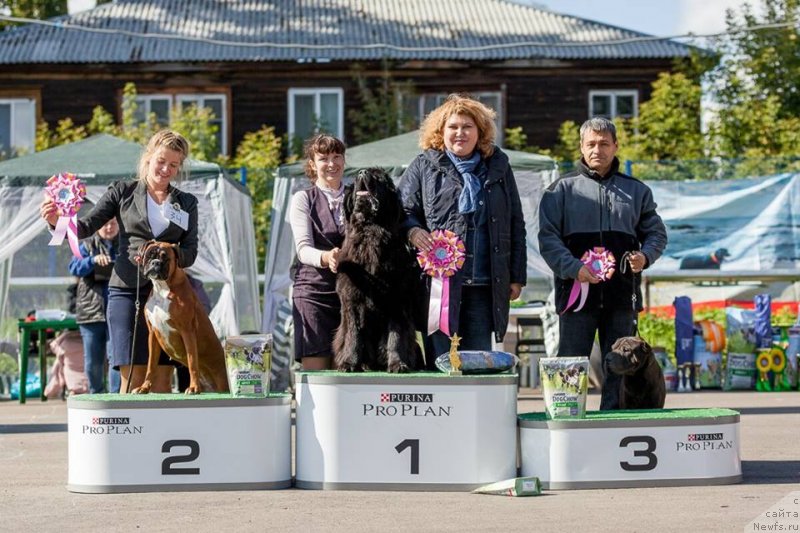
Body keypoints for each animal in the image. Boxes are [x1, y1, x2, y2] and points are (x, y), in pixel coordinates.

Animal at [134, 241, 228, 394]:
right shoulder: (153, 334)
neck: (162, 288)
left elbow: (192, 361)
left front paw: (194, 387)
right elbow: (151, 365)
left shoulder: (187, 331)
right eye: (149, 255)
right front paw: (144, 387)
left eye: (165, 258)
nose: (155, 262)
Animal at [332, 168, 422, 372]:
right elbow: (353, 334)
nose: (362, 171)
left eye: (379, 178)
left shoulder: (397, 300)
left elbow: (395, 337)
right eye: (357, 176)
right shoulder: (351, 298)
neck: (370, 233)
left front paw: (398, 364)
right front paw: (349, 363)